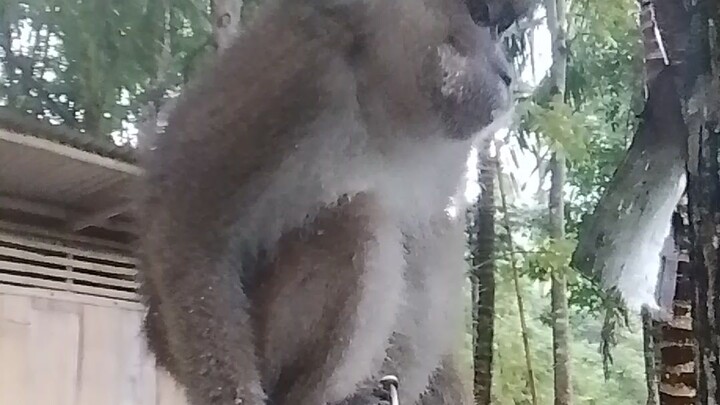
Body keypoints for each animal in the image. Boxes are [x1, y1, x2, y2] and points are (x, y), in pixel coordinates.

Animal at [138, 0, 533, 404]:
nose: (507, 75)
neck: (386, 95)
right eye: (481, 18)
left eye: (502, 28)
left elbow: (429, 233)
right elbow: (187, 219)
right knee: (360, 218)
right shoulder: (303, 72)